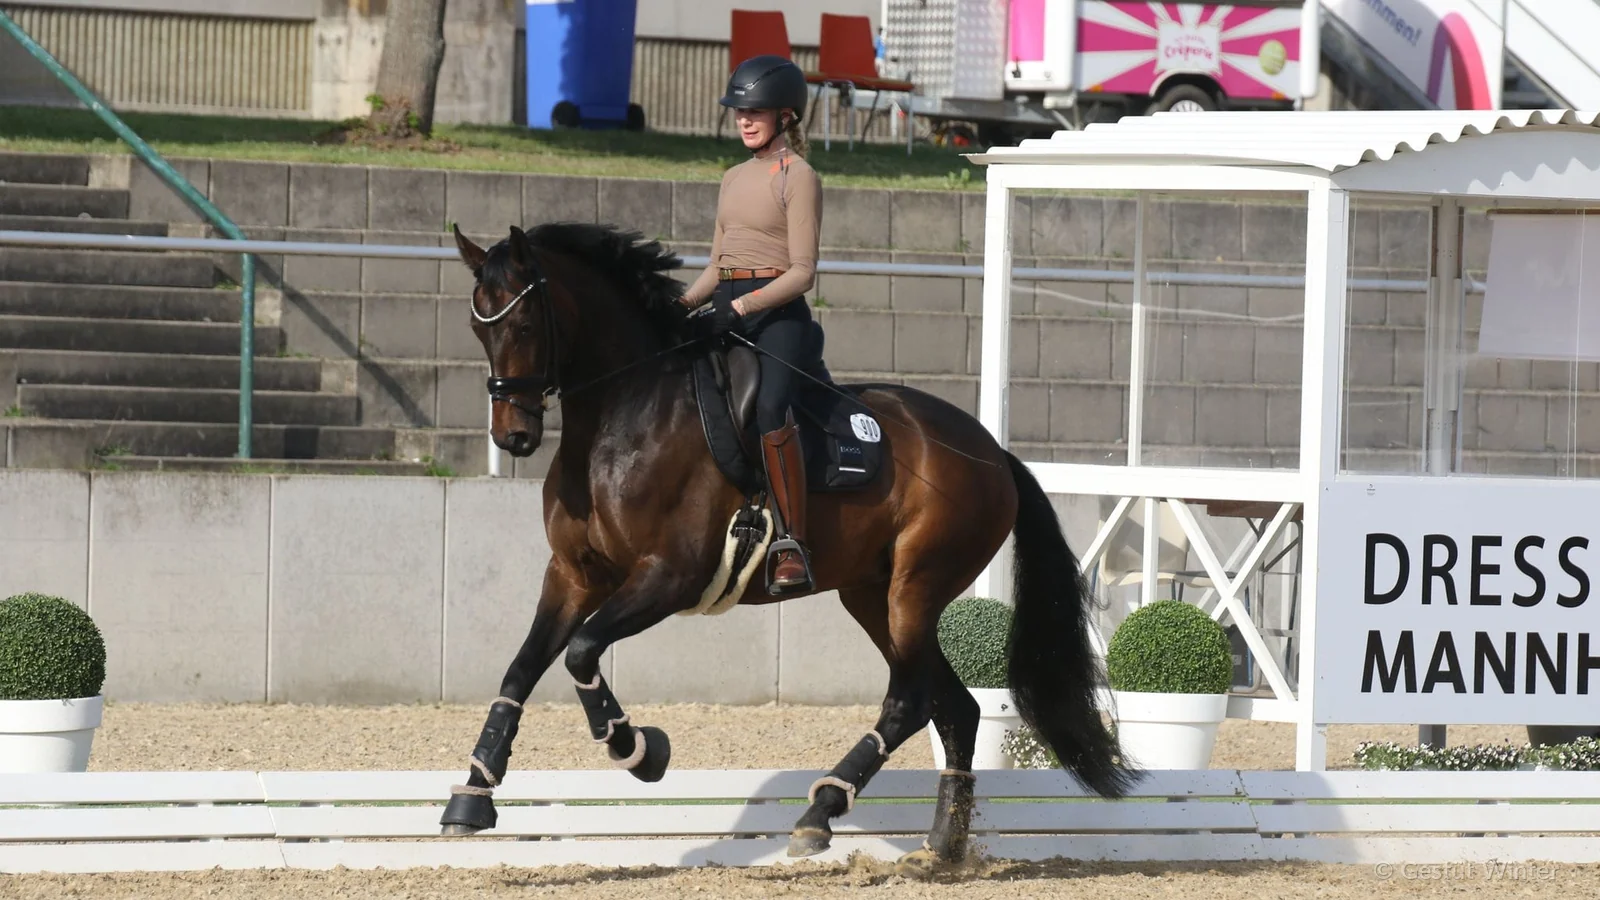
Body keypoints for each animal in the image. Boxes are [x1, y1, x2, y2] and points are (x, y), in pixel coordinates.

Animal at [437, 221, 1141, 874]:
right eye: (477, 326)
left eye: (525, 321)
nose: (514, 436)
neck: (622, 414)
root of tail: (992, 453)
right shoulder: (573, 575)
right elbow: (522, 669)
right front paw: (471, 797)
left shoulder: (668, 576)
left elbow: (581, 651)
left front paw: (640, 750)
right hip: (871, 596)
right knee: (955, 708)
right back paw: (939, 845)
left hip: (914, 589)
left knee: (911, 700)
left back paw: (820, 814)